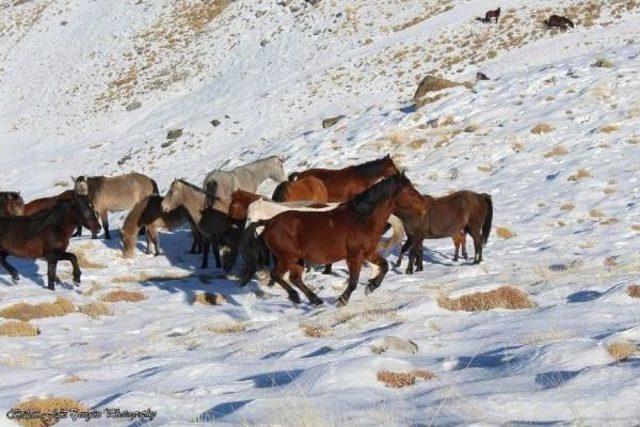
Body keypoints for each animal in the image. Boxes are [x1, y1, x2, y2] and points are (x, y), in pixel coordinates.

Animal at [242, 174, 422, 308]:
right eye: (409, 189)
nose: (422, 207)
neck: (361, 219)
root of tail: (269, 223)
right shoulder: (354, 257)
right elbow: (353, 282)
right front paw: (343, 300)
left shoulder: (368, 253)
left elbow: (384, 266)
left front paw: (371, 287)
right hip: (287, 257)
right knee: (278, 275)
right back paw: (297, 297)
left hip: (296, 259)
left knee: (295, 278)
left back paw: (315, 300)